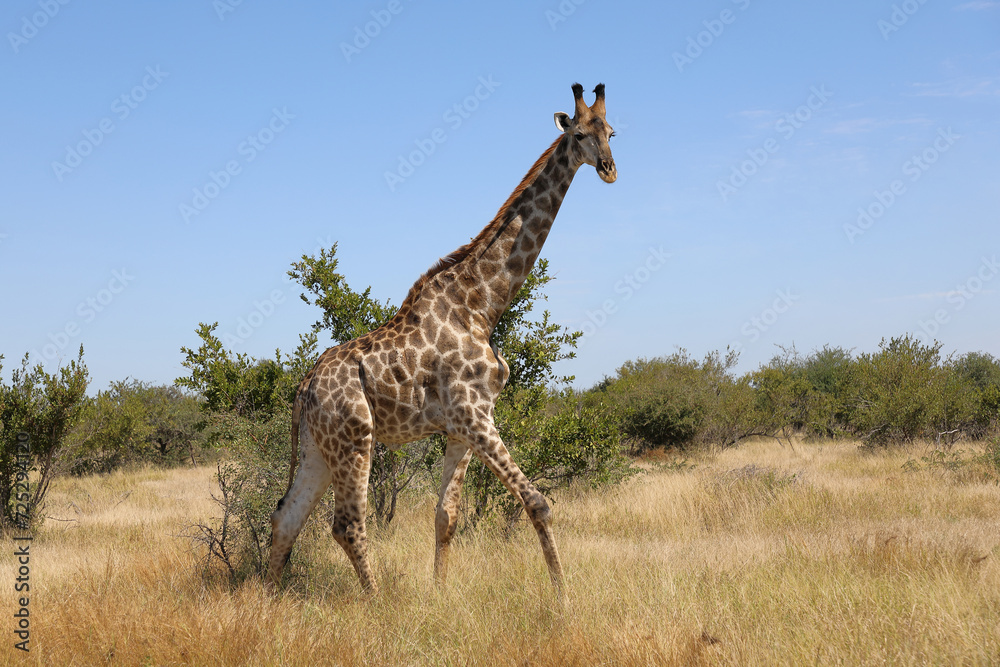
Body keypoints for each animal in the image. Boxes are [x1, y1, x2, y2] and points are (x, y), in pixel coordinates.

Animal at [267, 83, 616, 597]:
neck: (482, 303)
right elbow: (537, 501)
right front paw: (563, 598)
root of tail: (304, 387)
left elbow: (445, 515)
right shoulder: (472, 412)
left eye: (611, 130)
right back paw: (377, 602)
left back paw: (265, 597)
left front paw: (441, 593)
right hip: (355, 436)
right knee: (346, 524)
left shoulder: (461, 425)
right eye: (578, 133)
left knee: (286, 517)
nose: (610, 168)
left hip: (318, 446)